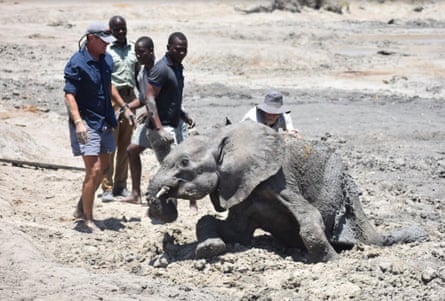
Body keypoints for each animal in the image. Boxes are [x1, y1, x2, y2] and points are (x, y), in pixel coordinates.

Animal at [144, 120, 424, 262]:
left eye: (184, 163)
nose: (161, 198)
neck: (221, 138)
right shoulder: (241, 190)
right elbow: (229, 230)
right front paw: (208, 250)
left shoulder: (277, 179)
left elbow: (310, 218)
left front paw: (335, 263)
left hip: (341, 184)